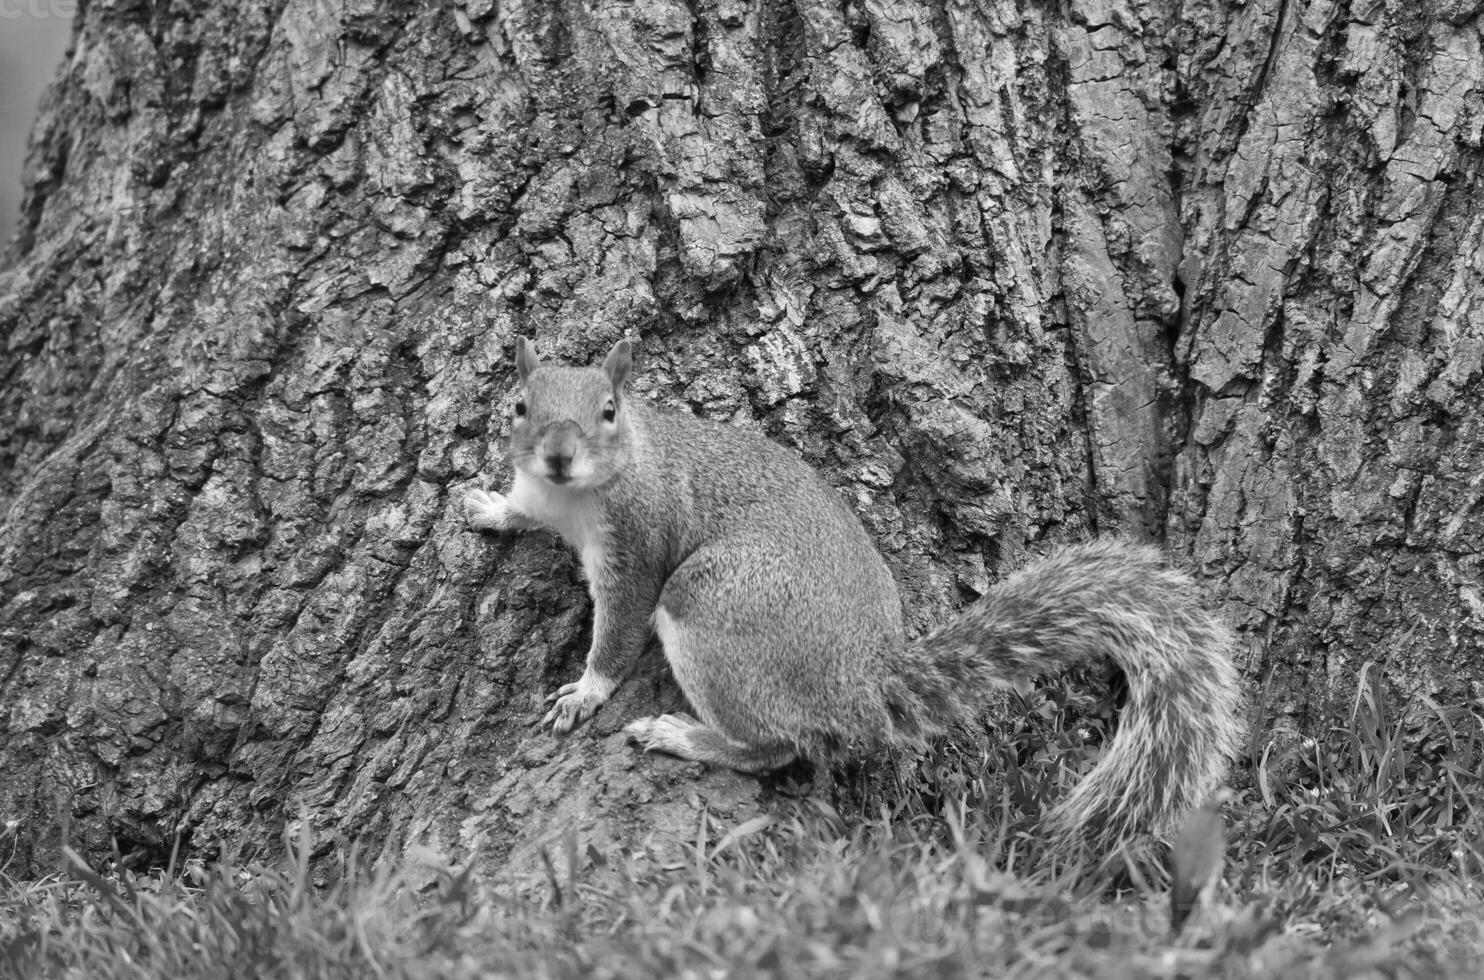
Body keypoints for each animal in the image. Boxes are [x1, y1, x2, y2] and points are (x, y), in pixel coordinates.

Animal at [463, 337, 1240, 855]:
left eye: (609, 411)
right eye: (519, 405)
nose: (558, 455)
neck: (575, 493)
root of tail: (862, 678)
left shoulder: (636, 544)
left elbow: (619, 629)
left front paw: (585, 692)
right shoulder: (544, 494)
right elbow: (521, 507)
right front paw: (490, 507)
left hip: (709, 608)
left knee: (774, 747)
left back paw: (684, 736)